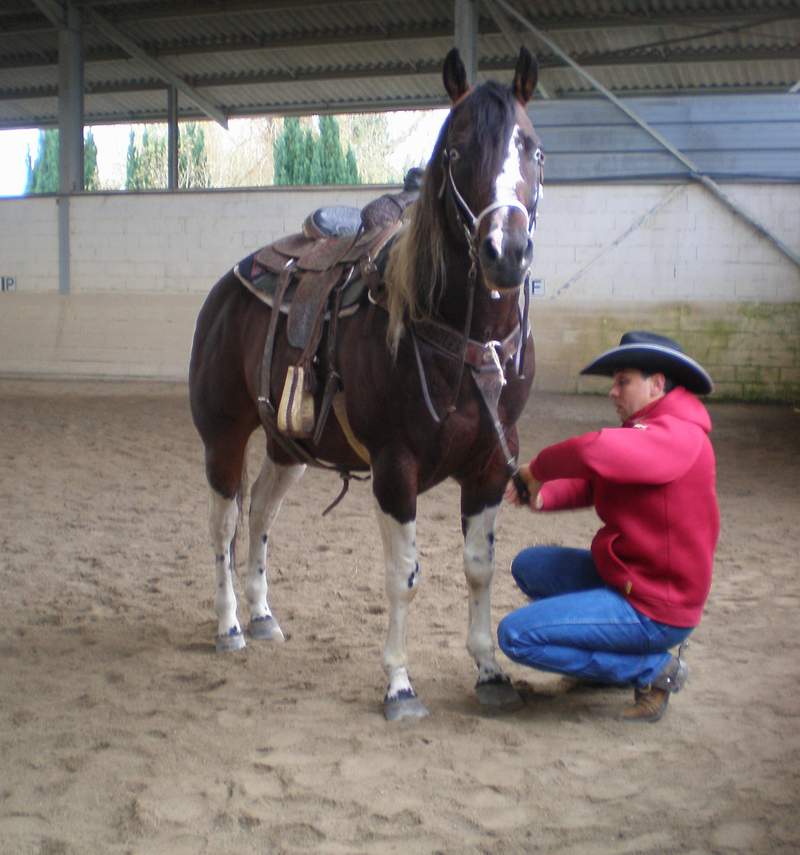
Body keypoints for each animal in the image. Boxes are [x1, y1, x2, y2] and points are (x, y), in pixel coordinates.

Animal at [191, 43, 548, 720]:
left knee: (261, 513)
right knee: (223, 524)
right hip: (222, 434)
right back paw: (227, 626)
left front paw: (490, 672)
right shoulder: (394, 468)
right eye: (456, 150)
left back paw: (262, 615)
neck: (459, 338)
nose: (506, 253)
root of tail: (228, 285)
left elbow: (480, 568)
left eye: (534, 150)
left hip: (289, 447)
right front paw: (400, 685)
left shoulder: (491, 464)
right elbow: (403, 575)